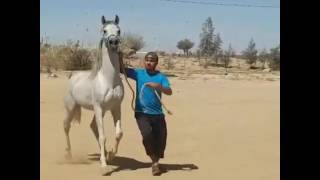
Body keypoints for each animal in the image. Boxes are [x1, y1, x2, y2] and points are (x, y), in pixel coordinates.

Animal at [62, 14, 124, 175]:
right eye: (104, 30)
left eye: (119, 30)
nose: (113, 42)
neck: (108, 80)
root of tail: (73, 76)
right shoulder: (99, 108)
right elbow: (103, 136)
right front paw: (104, 166)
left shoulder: (115, 108)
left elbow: (118, 133)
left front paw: (111, 155)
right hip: (71, 107)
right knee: (66, 126)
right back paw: (68, 154)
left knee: (92, 127)